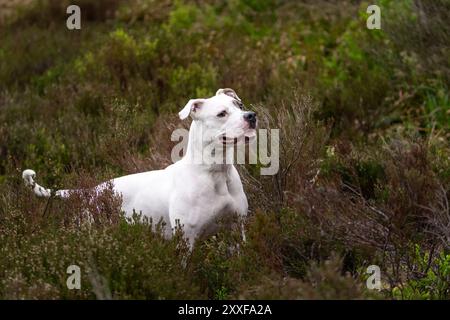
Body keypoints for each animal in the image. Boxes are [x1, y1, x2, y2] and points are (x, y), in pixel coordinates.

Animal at [22, 87, 256, 248]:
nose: (251, 116)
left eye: (239, 105)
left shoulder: (237, 230)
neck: (215, 173)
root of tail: (91, 192)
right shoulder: (186, 241)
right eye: (221, 113)